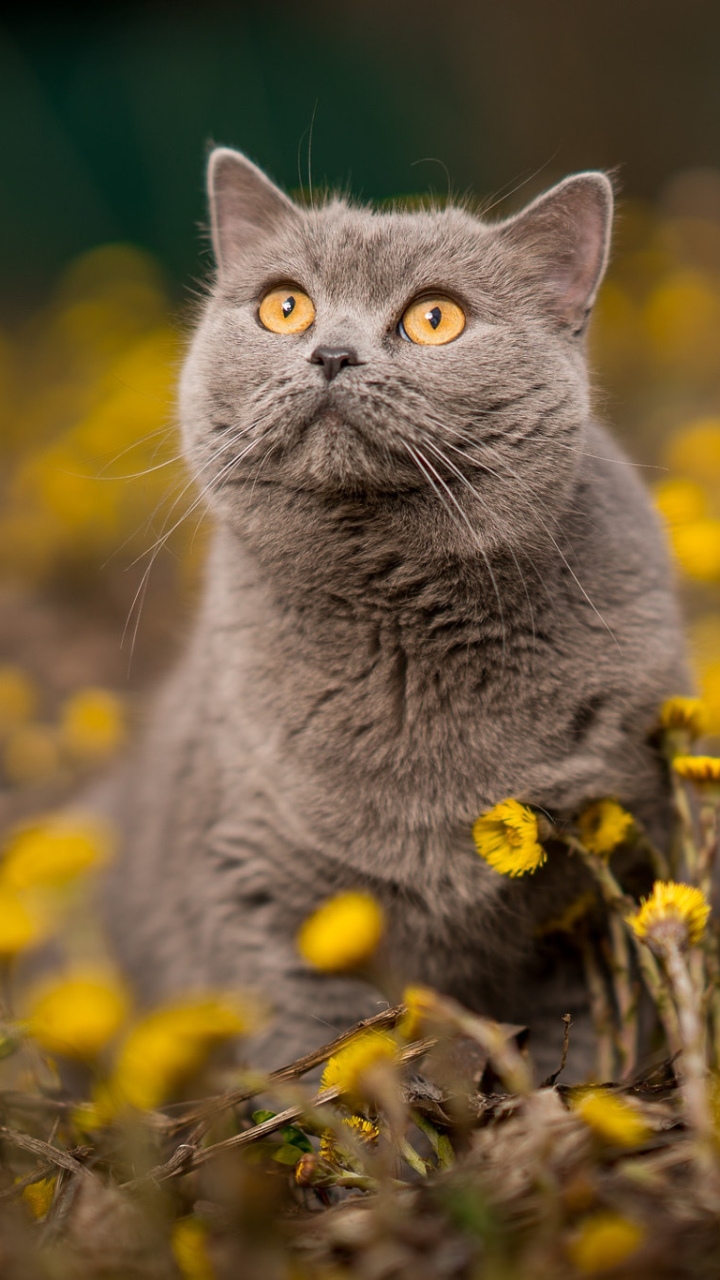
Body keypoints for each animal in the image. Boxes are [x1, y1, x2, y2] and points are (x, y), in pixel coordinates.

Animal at [105, 147, 681, 1070]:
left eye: (435, 318)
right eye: (285, 305)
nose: (332, 354)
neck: (401, 630)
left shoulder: (609, 851)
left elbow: (587, 1024)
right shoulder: (260, 887)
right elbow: (315, 1052)